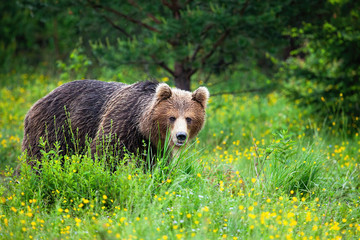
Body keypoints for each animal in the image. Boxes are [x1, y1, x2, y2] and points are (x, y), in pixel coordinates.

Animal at [21, 80, 208, 167]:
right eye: (172, 117)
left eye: (189, 118)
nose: (180, 136)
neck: (141, 127)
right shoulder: (119, 122)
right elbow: (103, 153)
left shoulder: (153, 147)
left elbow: (154, 166)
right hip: (55, 127)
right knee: (39, 157)